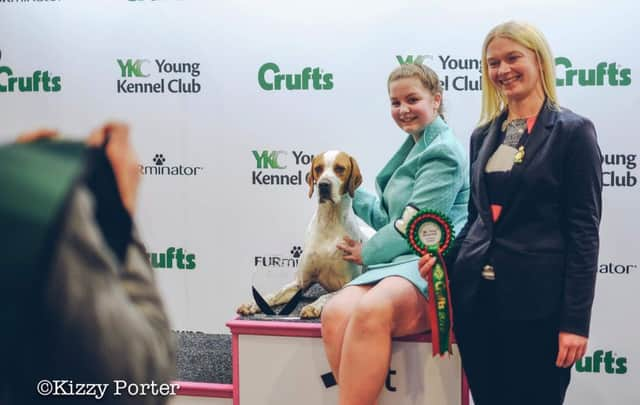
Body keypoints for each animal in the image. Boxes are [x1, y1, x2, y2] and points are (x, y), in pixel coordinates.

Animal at [239, 150, 370, 318]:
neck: (330, 222)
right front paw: (253, 304)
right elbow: (274, 294)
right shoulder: (299, 282)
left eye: (340, 168)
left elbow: (326, 295)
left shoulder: (348, 284)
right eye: (318, 168)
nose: (323, 185)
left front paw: (313, 306)